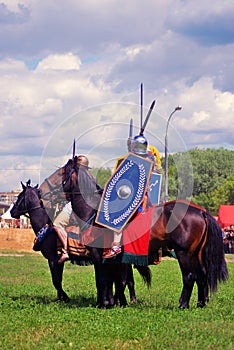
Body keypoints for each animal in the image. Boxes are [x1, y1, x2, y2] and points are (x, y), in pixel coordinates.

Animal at [62, 157, 229, 308]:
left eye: (63, 173)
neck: (93, 212)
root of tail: (201, 212)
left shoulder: (99, 256)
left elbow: (103, 280)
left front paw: (105, 304)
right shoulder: (118, 260)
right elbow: (119, 281)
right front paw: (117, 302)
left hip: (184, 253)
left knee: (189, 276)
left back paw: (183, 304)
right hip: (196, 253)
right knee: (201, 276)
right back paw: (200, 303)